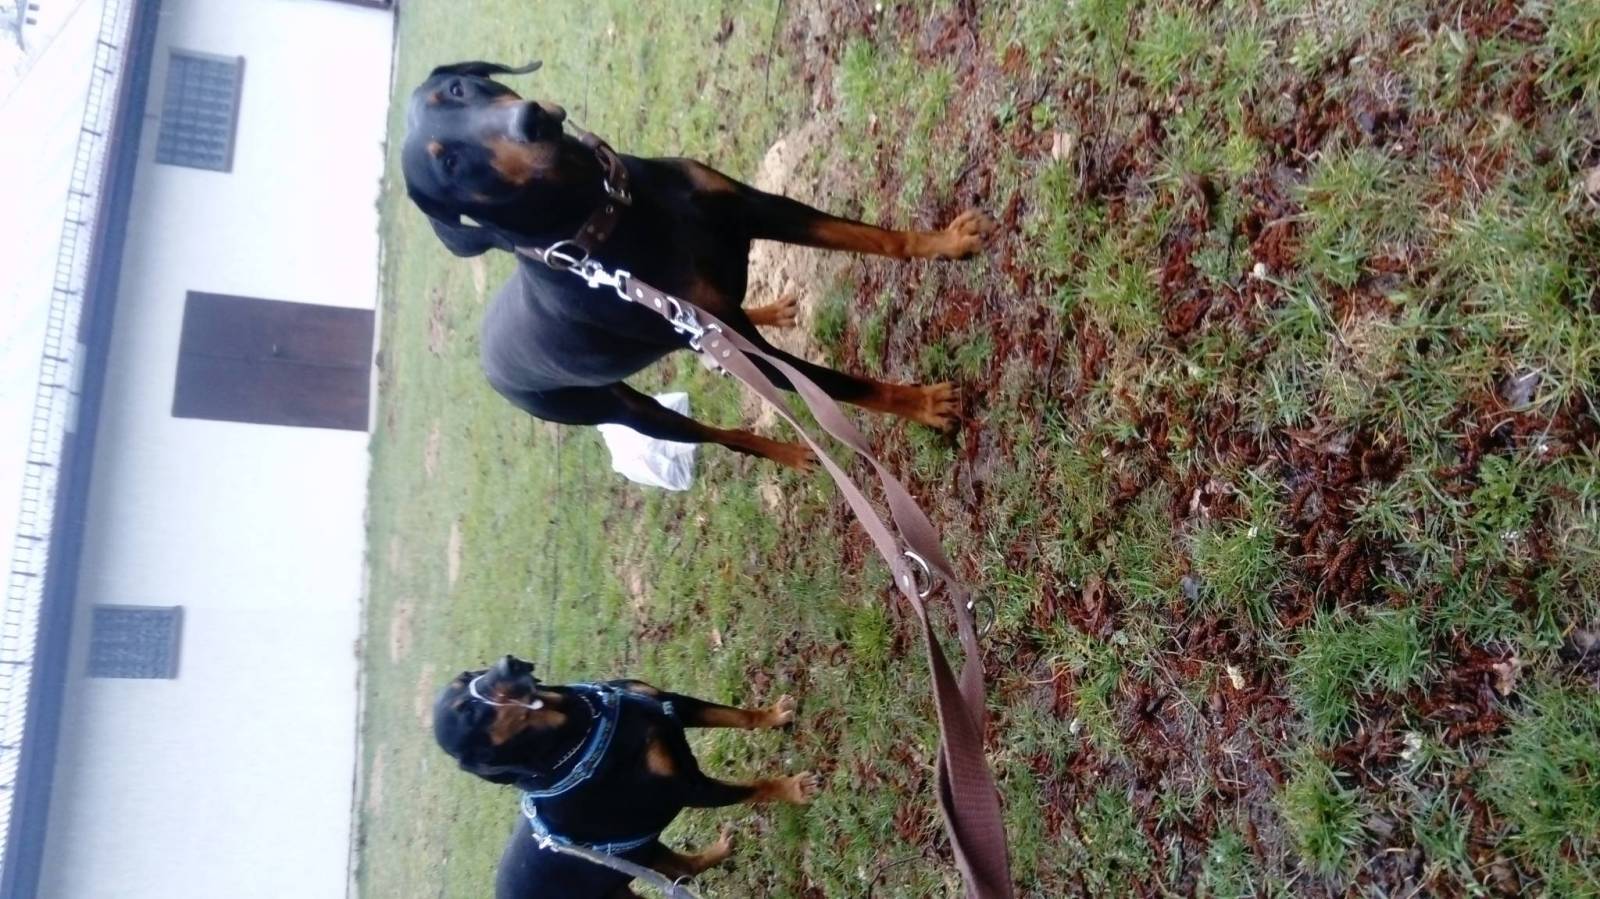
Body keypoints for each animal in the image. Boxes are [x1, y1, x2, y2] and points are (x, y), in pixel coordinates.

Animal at [402, 60, 997, 471]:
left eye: (458, 89)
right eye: (450, 163)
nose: (530, 120)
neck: (608, 214)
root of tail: (485, 362)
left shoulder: (757, 207)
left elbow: (871, 237)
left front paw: (949, 242)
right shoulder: (757, 356)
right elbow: (844, 386)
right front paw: (924, 404)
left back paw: (767, 312)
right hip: (619, 412)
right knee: (722, 437)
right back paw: (790, 454)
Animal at [434, 655, 819, 898]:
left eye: (467, 676)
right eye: (469, 712)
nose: (509, 661)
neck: (584, 728)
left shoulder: (668, 703)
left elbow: (736, 716)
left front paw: (774, 715)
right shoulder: (685, 787)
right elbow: (756, 788)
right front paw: (794, 787)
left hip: (635, 851)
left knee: (681, 870)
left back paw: (721, 848)